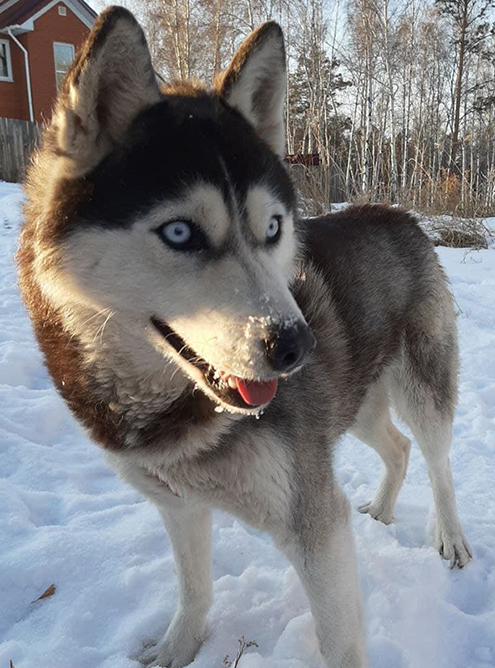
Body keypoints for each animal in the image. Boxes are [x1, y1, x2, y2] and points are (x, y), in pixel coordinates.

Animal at [16, 9, 472, 668]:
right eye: (180, 232)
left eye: (274, 227)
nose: (297, 346)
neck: (174, 413)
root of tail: (397, 213)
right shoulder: (178, 504)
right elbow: (194, 588)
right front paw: (177, 648)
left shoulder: (313, 522)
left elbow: (340, 641)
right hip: (354, 403)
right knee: (398, 447)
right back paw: (383, 510)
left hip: (421, 389)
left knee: (436, 459)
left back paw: (452, 539)